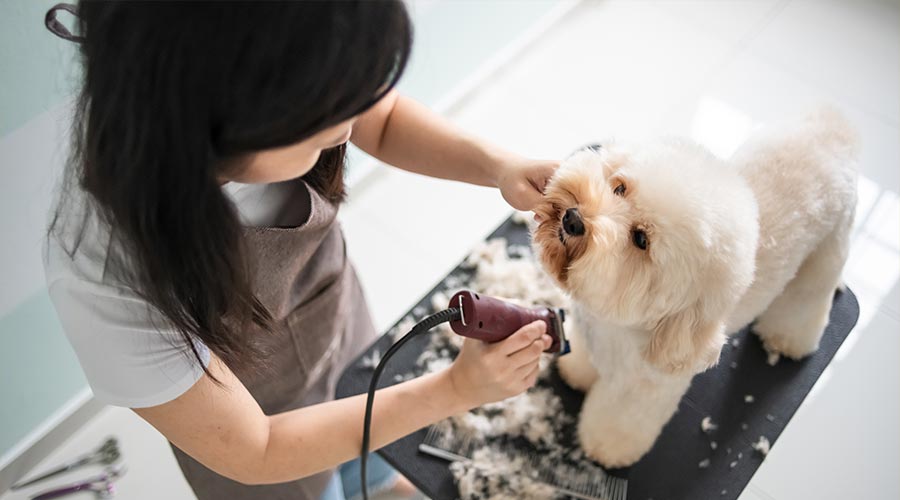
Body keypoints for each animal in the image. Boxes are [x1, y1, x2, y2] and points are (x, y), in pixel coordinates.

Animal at [536, 109, 856, 468]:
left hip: (826, 252)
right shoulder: (591, 336)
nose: (573, 219)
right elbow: (583, 361)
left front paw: (605, 448)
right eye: (619, 187)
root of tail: (836, 124)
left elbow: (620, 421)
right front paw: (576, 373)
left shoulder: (641, 389)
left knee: (805, 301)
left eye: (641, 239)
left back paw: (787, 339)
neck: (616, 327)